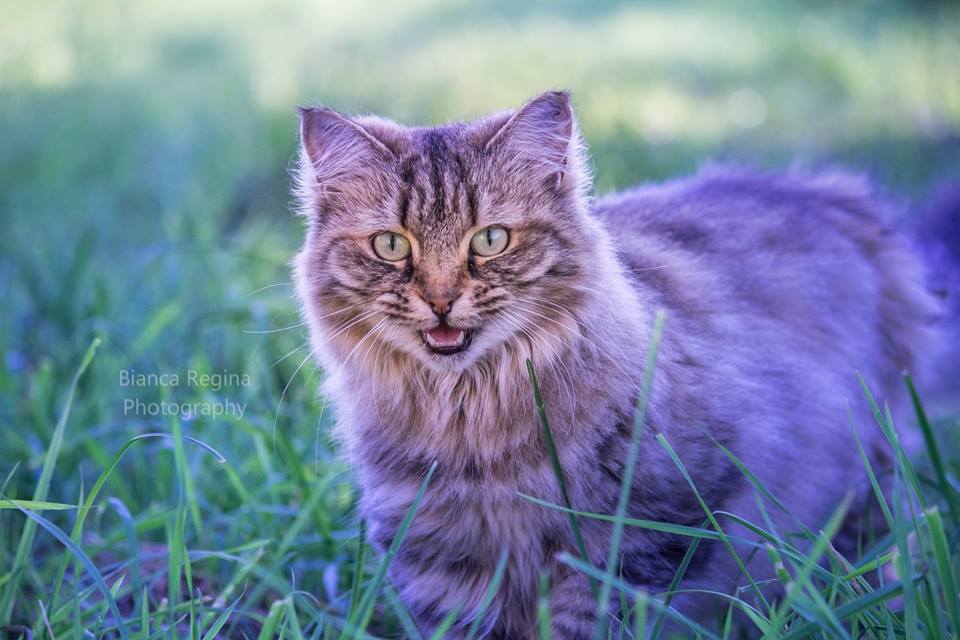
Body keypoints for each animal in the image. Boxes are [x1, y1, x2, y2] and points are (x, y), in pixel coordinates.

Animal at [290, 91, 952, 640]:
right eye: (391, 245)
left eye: (490, 240)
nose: (441, 298)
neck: (473, 423)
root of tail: (843, 201)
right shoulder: (440, 565)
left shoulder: (636, 543)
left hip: (860, 491)